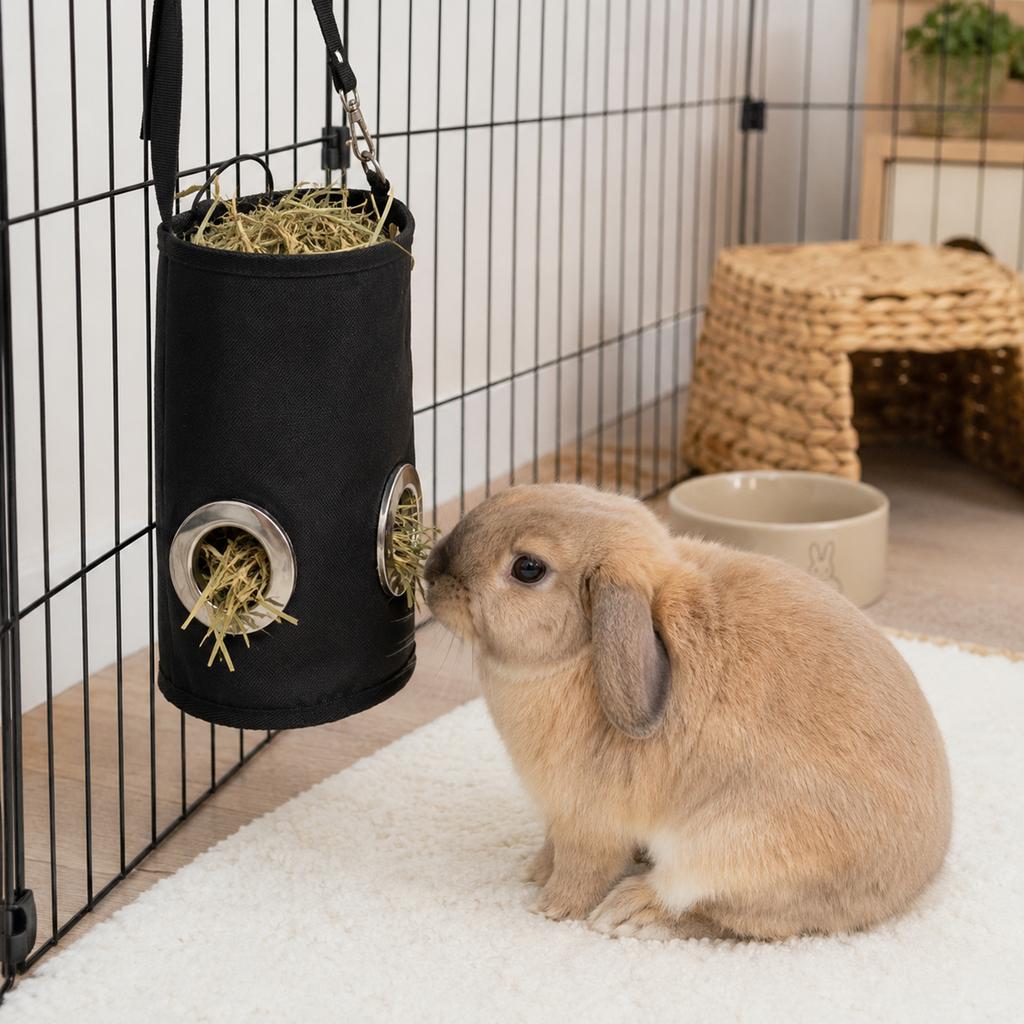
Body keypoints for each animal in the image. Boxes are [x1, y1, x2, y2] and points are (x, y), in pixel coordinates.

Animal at [424, 483, 951, 940]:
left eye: (528, 568)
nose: (431, 573)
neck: (582, 654)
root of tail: (913, 880)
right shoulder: (560, 817)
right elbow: (551, 847)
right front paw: (533, 870)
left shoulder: (587, 821)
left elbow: (581, 868)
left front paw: (549, 907)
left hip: (730, 847)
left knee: (722, 916)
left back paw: (629, 912)